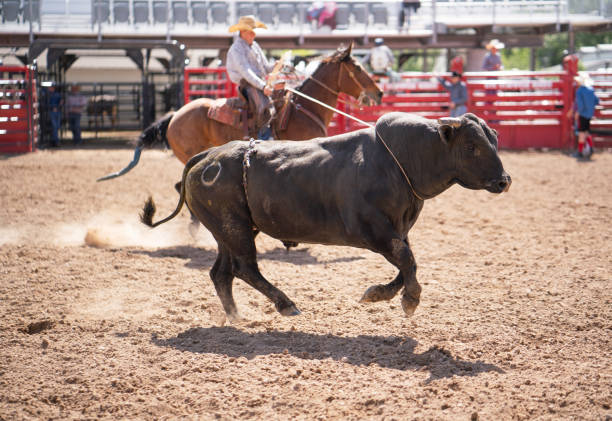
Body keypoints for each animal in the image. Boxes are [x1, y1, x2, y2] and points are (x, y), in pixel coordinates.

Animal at [142, 112, 512, 322]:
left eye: (494, 140)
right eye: (472, 147)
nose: (504, 181)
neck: (399, 161)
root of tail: (208, 157)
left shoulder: (398, 230)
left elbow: (406, 264)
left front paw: (379, 294)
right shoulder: (374, 231)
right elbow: (407, 261)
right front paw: (409, 300)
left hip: (228, 230)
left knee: (222, 273)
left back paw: (236, 317)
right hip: (235, 229)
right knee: (245, 268)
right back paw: (286, 304)